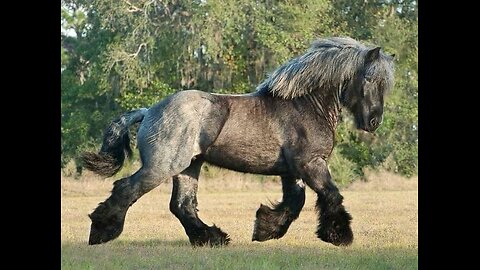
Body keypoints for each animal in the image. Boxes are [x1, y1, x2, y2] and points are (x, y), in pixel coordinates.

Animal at [81, 37, 394, 248]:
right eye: (369, 78)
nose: (373, 122)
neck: (305, 105)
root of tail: (149, 111)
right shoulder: (311, 164)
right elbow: (330, 194)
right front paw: (339, 235)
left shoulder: (293, 171)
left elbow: (295, 202)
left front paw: (265, 229)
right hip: (162, 166)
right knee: (127, 188)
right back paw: (101, 232)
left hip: (188, 167)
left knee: (182, 205)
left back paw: (213, 238)